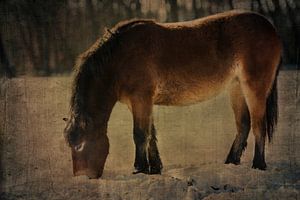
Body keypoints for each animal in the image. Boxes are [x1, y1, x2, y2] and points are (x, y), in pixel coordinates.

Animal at [62, 9, 282, 178]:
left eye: (81, 144)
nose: (82, 177)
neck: (120, 58)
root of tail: (269, 26)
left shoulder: (141, 99)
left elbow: (140, 135)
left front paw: (139, 169)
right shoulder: (140, 103)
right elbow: (150, 135)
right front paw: (154, 169)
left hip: (254, 87)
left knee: (258, 125)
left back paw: (258, 165)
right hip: (236, 88)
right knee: (243, 125)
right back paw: (231, 162)